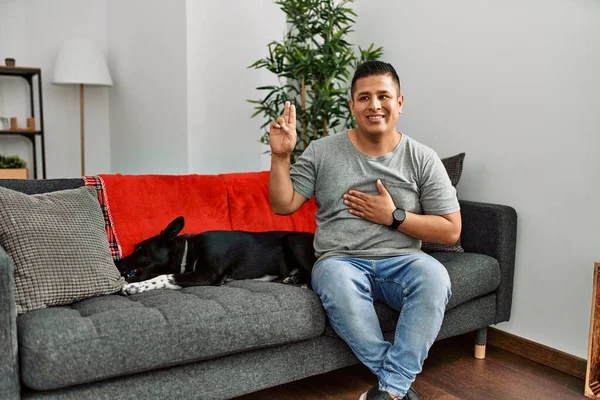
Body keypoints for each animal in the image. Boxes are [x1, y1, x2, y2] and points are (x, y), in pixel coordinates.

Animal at [114, 217, 316, 296]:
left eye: (140, 248)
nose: (116, 262)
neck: (189, 250)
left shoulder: (208, 274)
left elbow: (164, 277)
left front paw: (134, 287)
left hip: (293, 240)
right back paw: (293, 278)